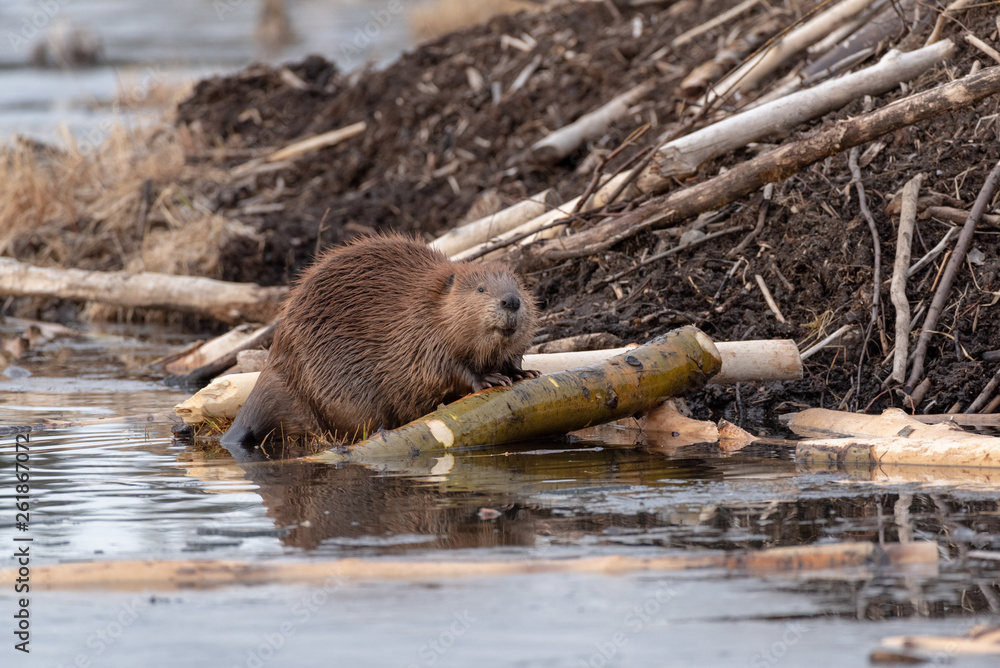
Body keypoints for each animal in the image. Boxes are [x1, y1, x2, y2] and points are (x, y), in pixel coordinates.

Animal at [222, 234, 540, 448]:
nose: (511, 301)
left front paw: (524, 372)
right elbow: (443, 370)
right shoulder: (420, 336)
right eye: (481, 289)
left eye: (518, 286)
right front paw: (489, 379)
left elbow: (513, 355)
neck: (431, 305)